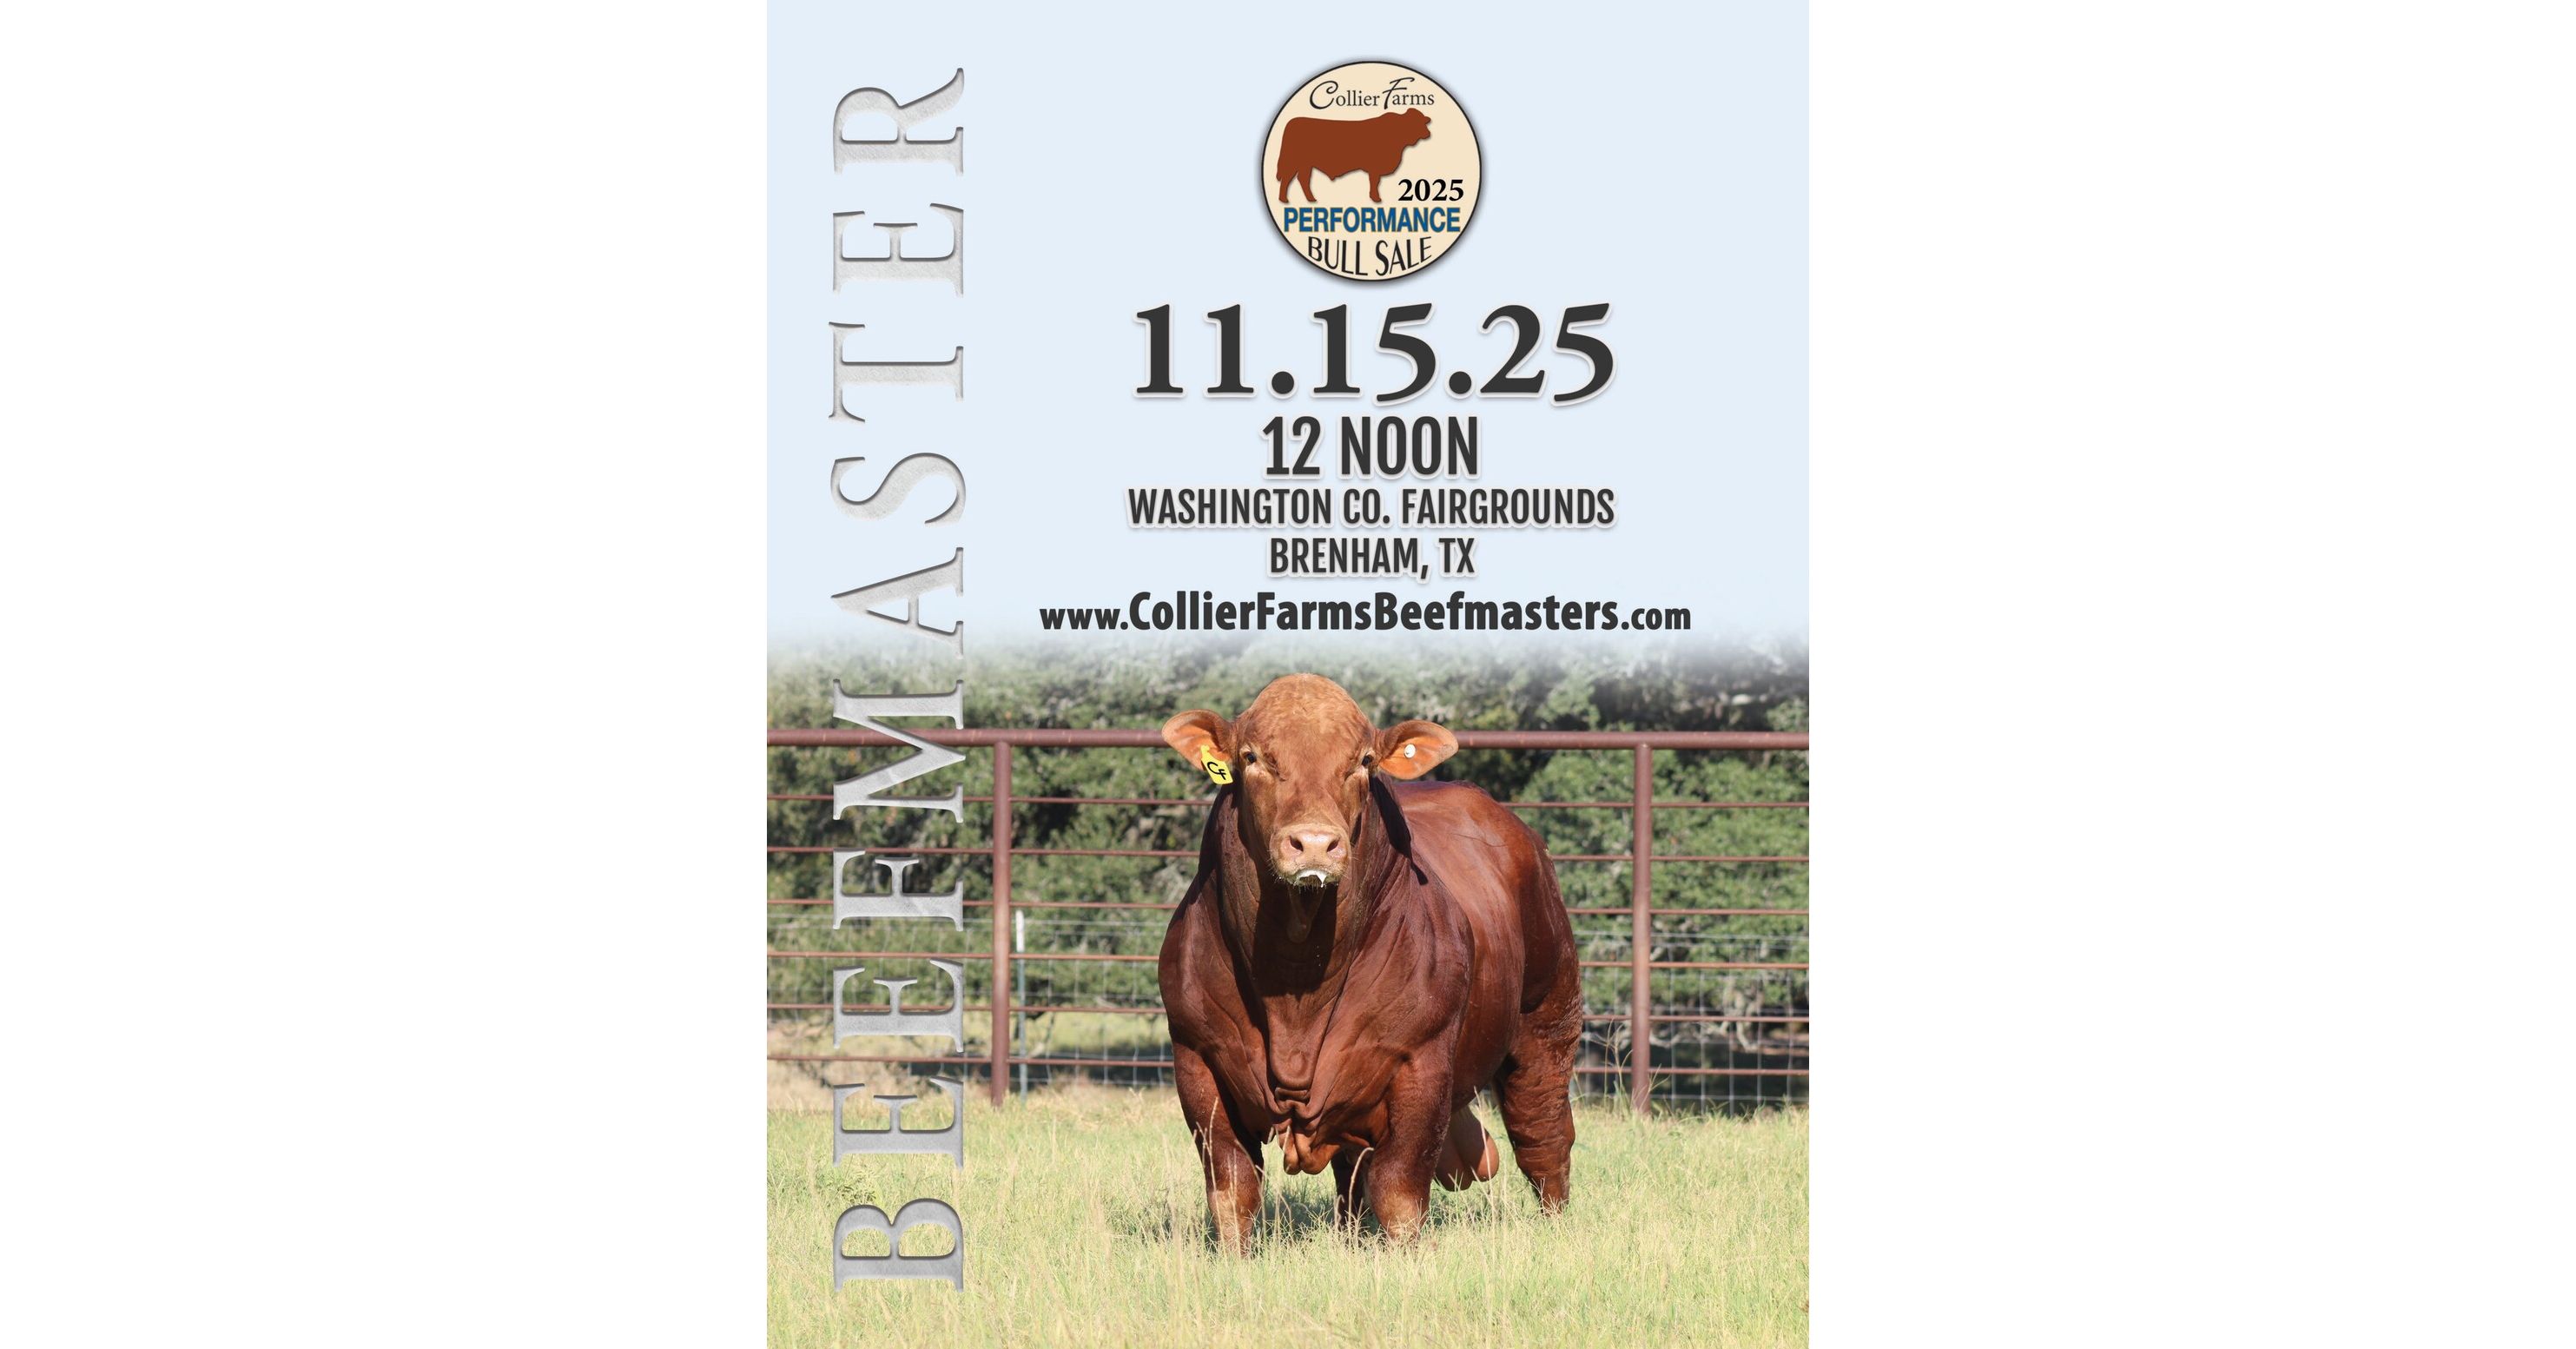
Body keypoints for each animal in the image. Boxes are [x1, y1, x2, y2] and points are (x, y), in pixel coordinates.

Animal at [1156, 674, 1582, 1251]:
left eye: (1362, 761)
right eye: (1252, 757)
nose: (1315, 843)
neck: (1296, 982)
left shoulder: (1420, 1063)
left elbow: (1400, 1190)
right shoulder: (1197, 1059)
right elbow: (1232, 1189)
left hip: (1548, 1021)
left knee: (1543, 1132)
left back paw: (1555, 1225)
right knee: (1352, 1170)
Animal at [1274, 108, 1433, 205]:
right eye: (1416, 122)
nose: (1428, 133)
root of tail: (1293, 121)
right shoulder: (1375, 168)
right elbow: (1374, 182)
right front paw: (1376, 198)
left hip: (1306, 164)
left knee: (1303, 179)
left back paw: (1311, 199)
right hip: (1293, 161)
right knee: (1288, 178)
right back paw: (1284, 200)